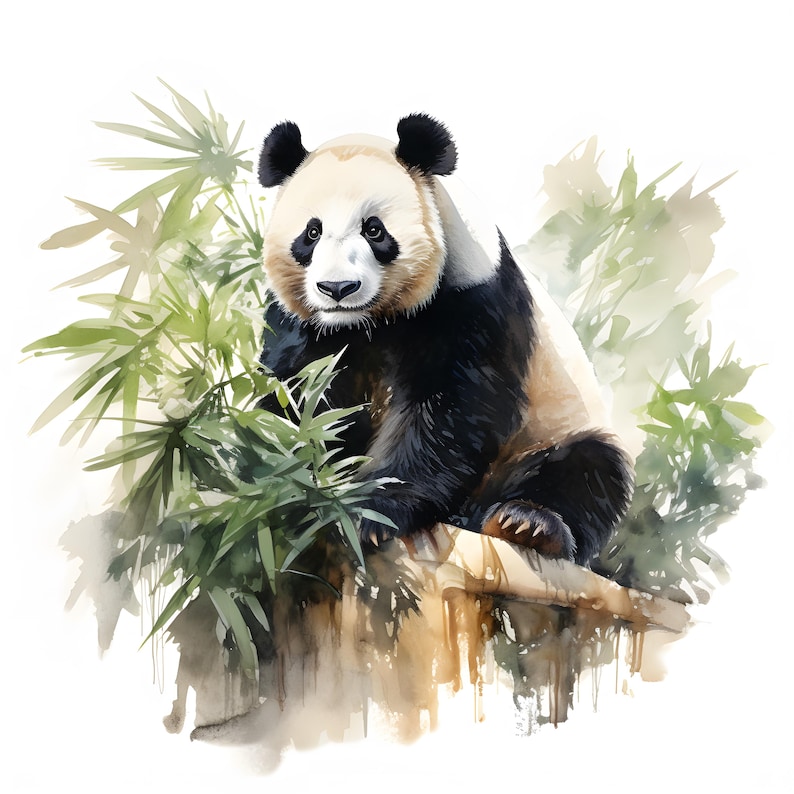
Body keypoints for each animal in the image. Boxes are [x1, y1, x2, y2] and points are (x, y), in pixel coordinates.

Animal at [257, 113, 633, 566]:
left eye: (374, 230)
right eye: (312, 233)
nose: (337, 288)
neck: (369, 320)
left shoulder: (473, 297)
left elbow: (451, 408)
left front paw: (373, 513)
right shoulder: (303, 323)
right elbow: (301, 397)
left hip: (551, 432)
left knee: (588, 470)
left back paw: (529, 524)